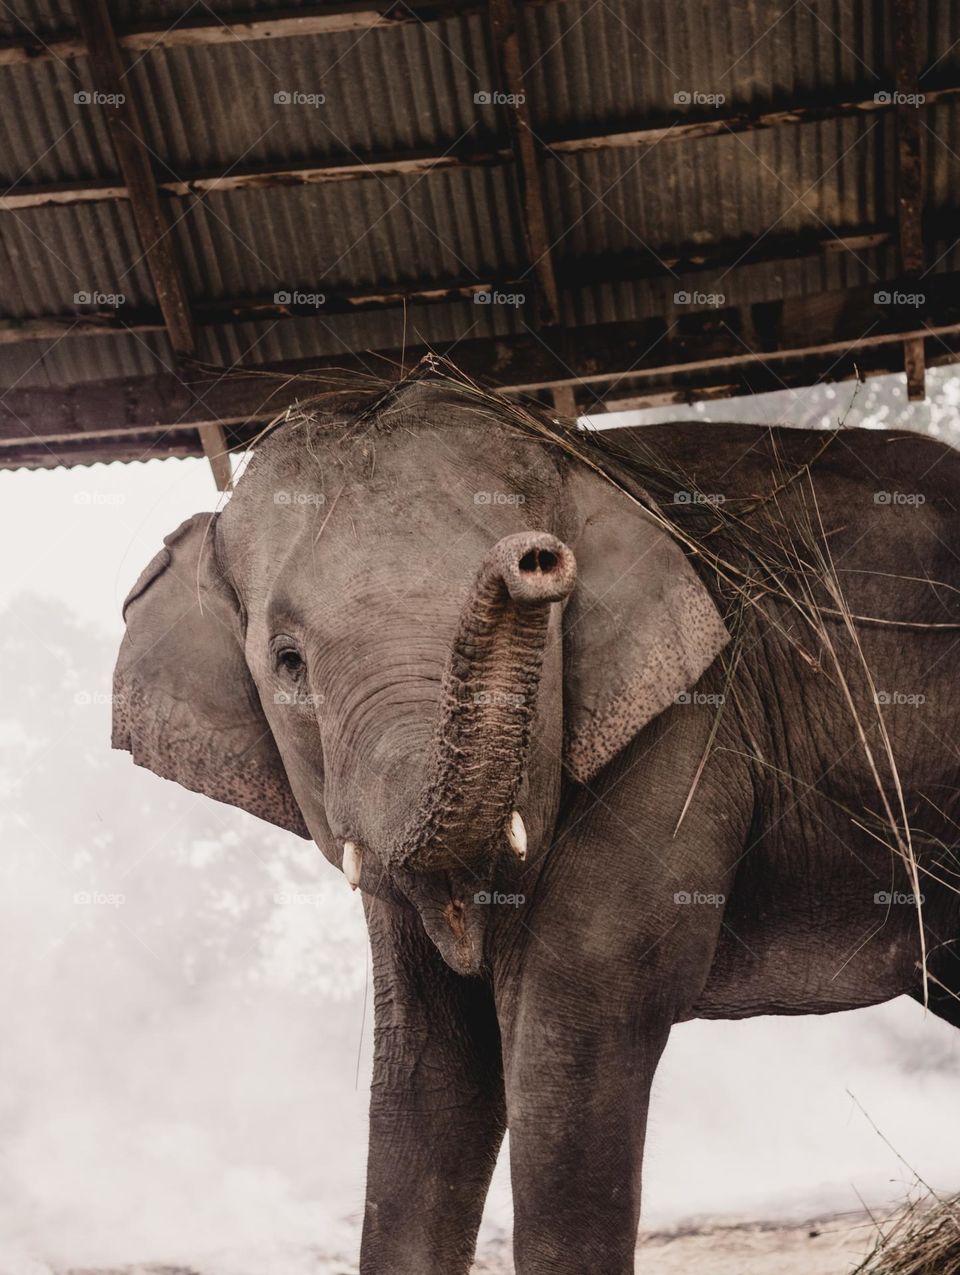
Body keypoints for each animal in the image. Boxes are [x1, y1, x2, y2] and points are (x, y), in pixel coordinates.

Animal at [113, 372, 960, 1274]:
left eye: (551, 619)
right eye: (288, 661)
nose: (533, 558)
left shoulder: (687, 725)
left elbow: (573, 1023)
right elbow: (429, 1053)